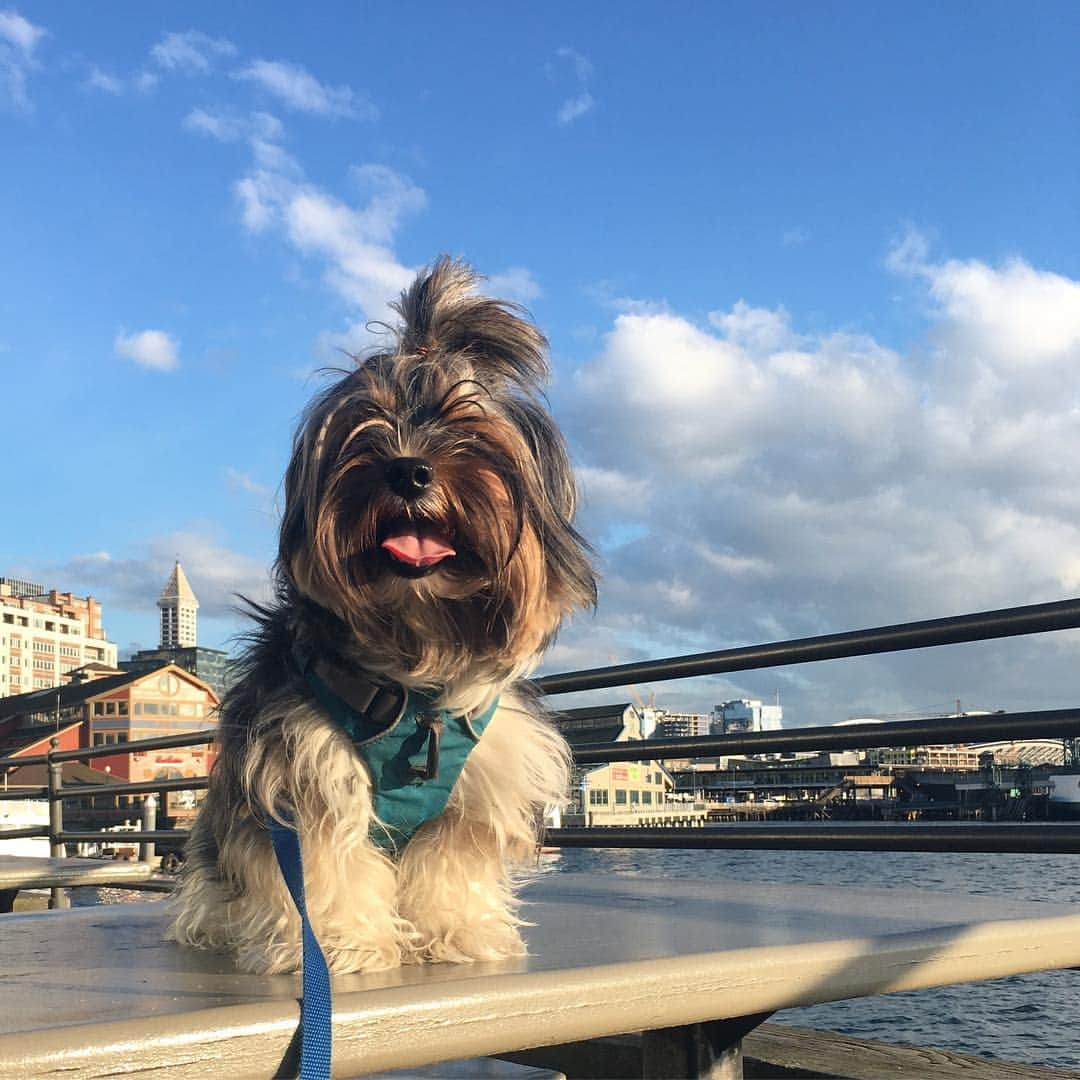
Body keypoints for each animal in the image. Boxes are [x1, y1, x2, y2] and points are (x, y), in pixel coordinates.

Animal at [174, 257, 600, 976]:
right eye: (364, 428)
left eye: (467, 428)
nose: (408, 471)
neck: (416, 664)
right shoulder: (300, 775)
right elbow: (328, 868)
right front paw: (342, 944)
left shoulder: (473, 795)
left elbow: (450, 867)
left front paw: (454, 931)